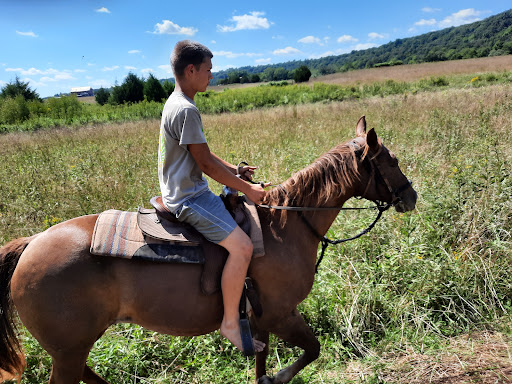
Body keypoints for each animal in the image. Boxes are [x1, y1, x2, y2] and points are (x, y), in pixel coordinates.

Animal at [0, 117, 416, 384]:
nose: (411, 196)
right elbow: (311, 350)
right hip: (68, 351)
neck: (286, 225)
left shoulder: (261, 320)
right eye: (392, 161)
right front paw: (279, 377)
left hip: (71, 349)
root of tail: (31, 243)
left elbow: (262, 362)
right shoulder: (281, 313)